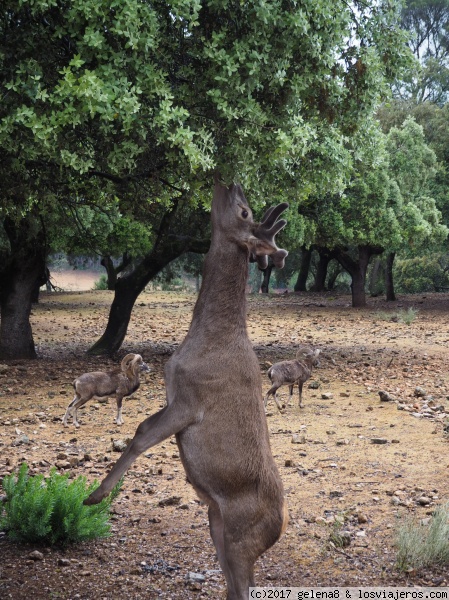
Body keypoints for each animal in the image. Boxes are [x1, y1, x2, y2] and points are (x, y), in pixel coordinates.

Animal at [85, 176, 288, 596]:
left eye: (244, 211)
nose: (231, 179)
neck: (208, 337)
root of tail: (282, 524)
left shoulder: (192, 399)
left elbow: (141, 433)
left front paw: (93, 497)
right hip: (216, 526)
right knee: (236, 585)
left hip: (241, 538)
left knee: (243, 586)